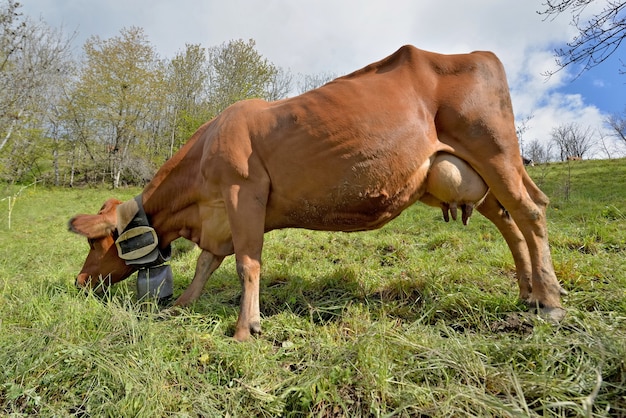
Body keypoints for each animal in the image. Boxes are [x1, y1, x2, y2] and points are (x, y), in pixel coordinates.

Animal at [68, 45, 564, 342]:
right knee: (511, 223)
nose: (78, 281)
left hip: (497, 153)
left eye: (97, 242)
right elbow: (208, 263)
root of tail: (477, 53)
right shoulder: (220, 214)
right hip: (473, 178)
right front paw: (184, 305)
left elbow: (247, 263)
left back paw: (551, 302)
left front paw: (245, 329)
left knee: (532, 213)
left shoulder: (242, 191)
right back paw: (528, 294)